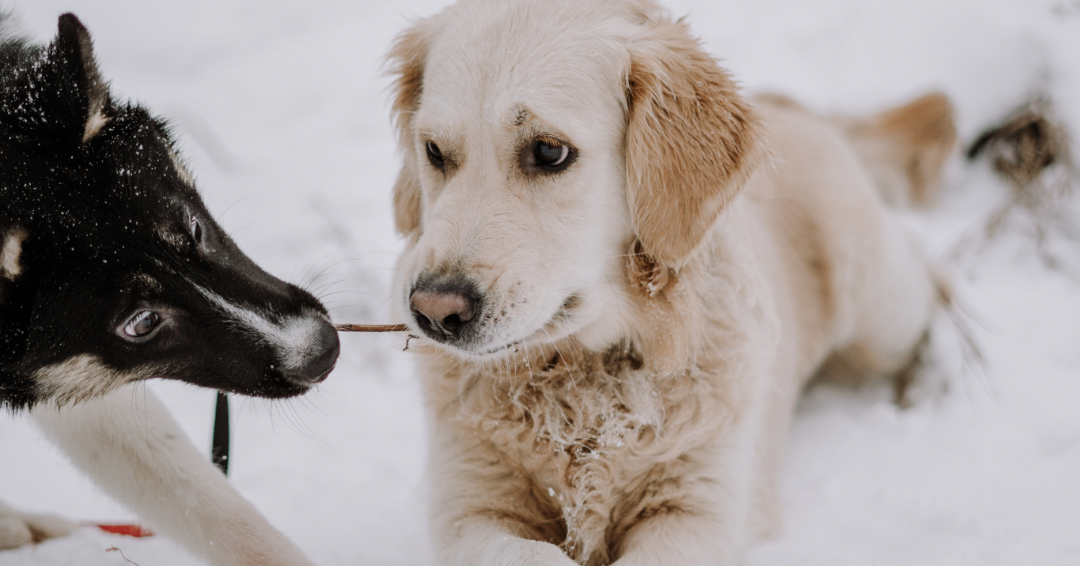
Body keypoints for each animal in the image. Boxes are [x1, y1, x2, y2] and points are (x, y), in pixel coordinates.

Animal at [386, 2, 954, 561]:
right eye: (434, 151)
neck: (588, 377)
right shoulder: (470, 507)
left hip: (883, 308)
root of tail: (800, 110)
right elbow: (529, 552)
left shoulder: (696, 508)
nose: (434, 311)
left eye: (549, 152)